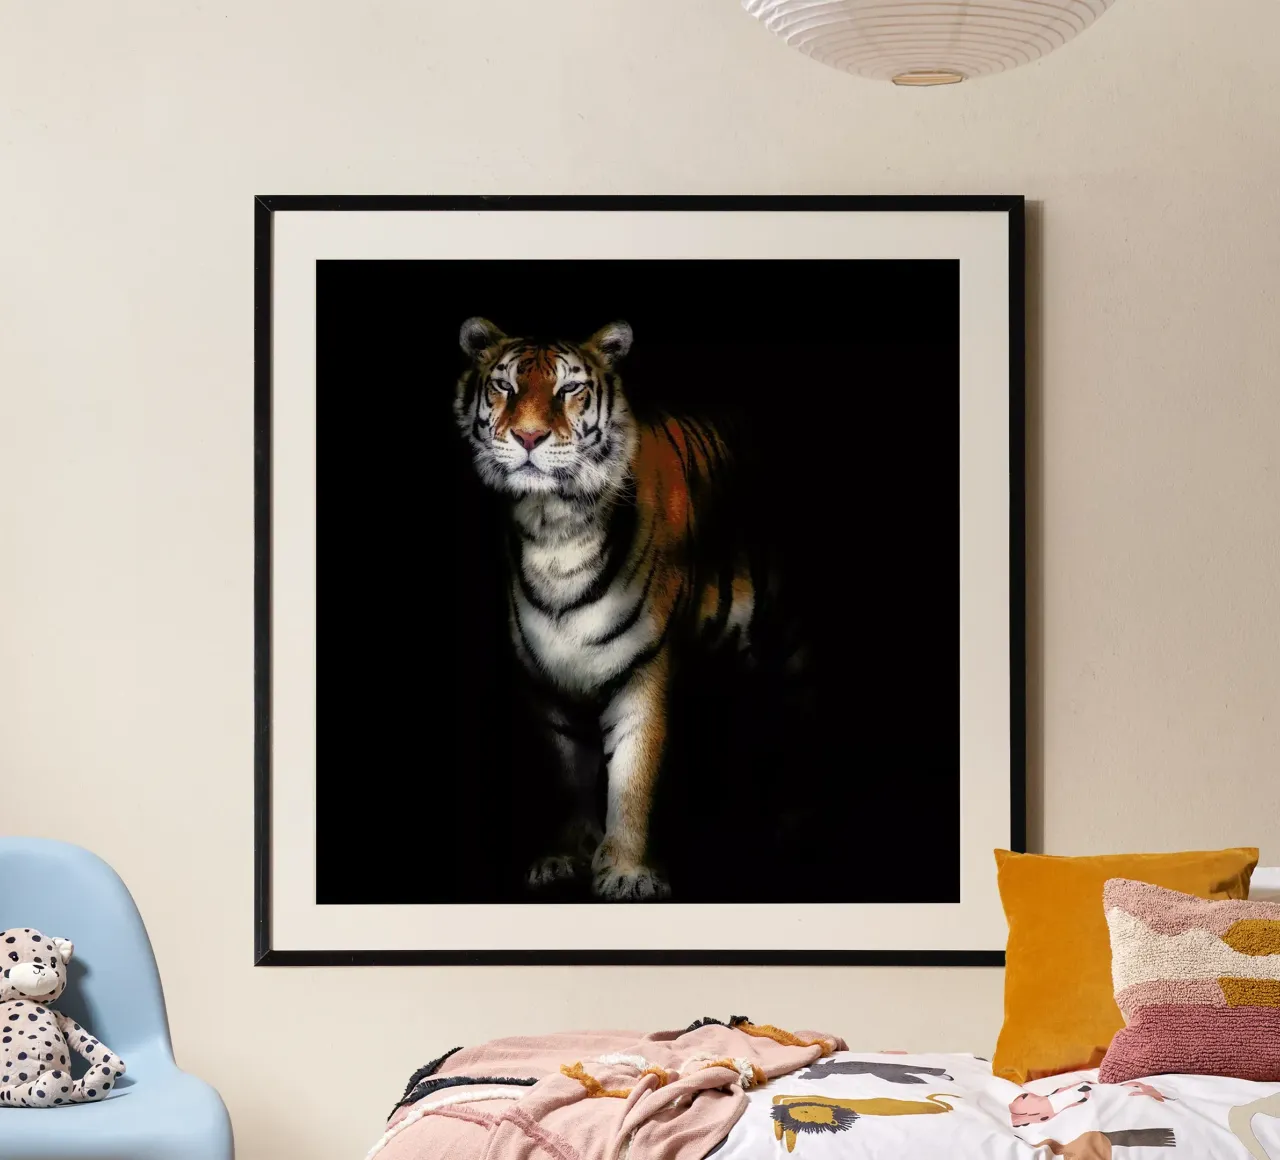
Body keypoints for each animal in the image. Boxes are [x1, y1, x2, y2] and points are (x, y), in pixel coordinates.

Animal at [453, 316, 762, 901]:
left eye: (568, 389)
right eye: (505, 386)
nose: (529, 437)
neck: (555, 530)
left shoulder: (645, 670)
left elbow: (633, 777)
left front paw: (627, 871)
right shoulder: (545, 683)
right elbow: (566, 775)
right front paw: (563, 858)